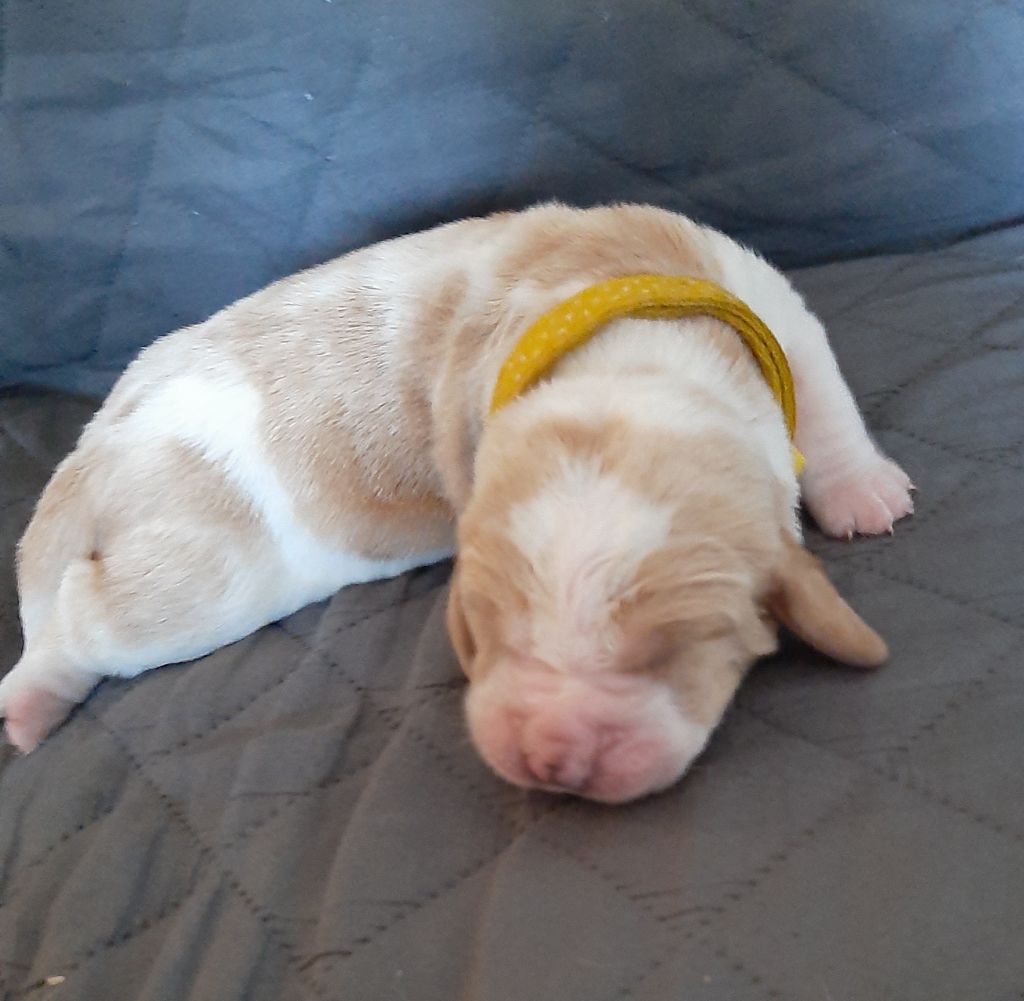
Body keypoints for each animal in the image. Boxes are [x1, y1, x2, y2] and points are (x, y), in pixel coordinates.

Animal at [0, 203, 913, 801]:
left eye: (671, 653)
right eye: (483, 629)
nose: (553, 757)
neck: (636, 355)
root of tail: (94, 449)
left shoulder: (769, 306)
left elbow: (825, 398)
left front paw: (864, 490)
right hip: (204, 574)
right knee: (83, 624)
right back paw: (29, 700)